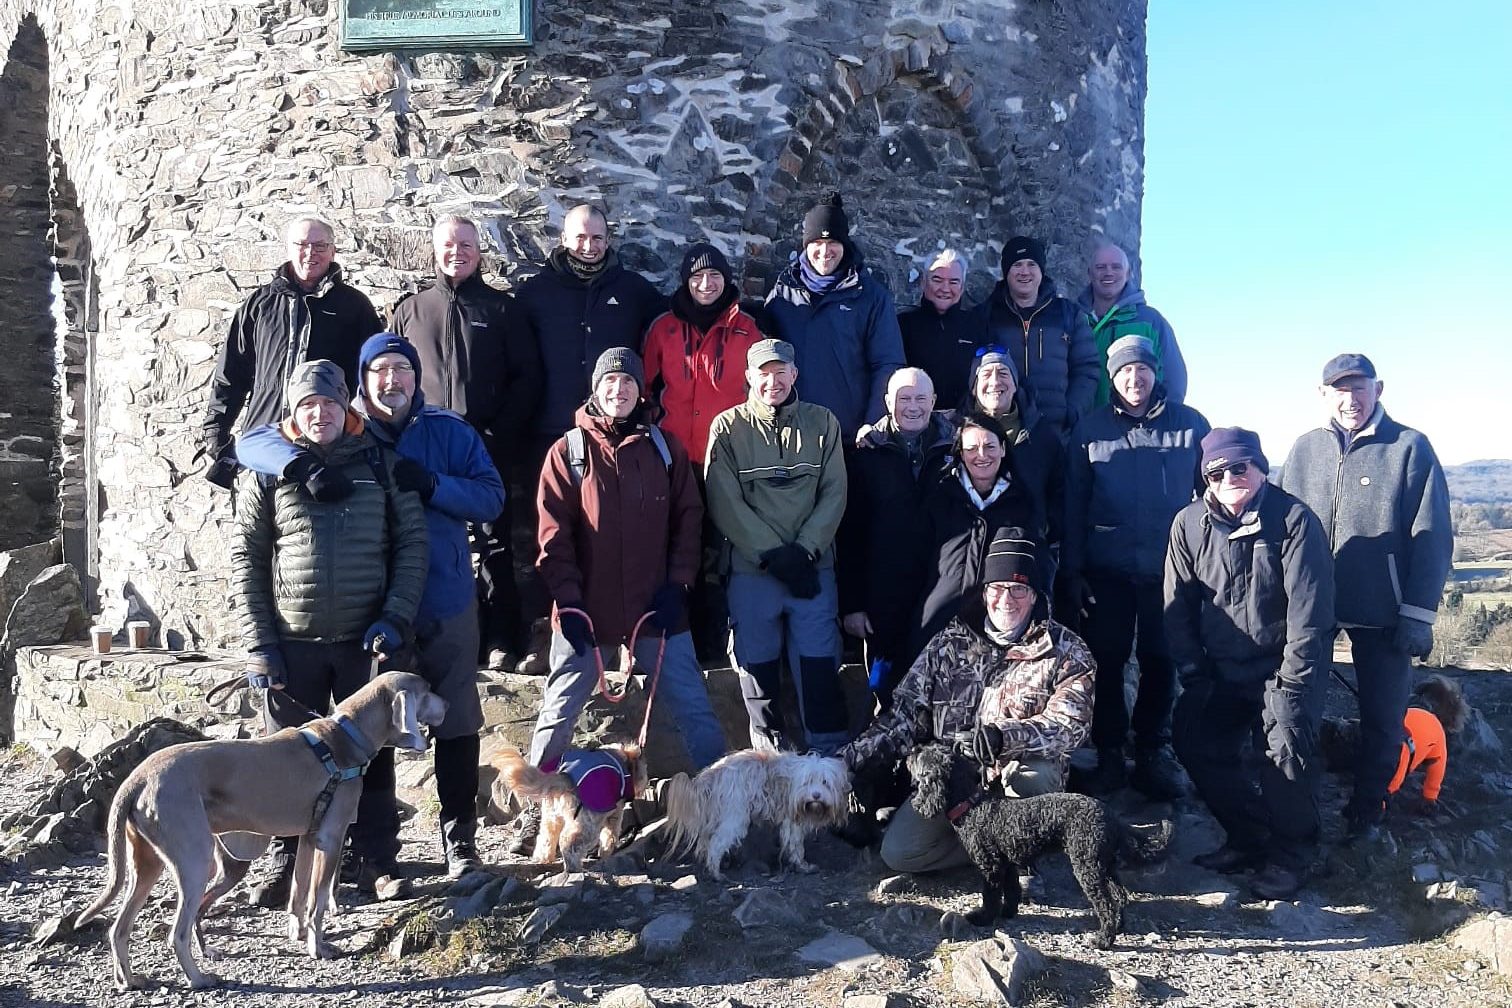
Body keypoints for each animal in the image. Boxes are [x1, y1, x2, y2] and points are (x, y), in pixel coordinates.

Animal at [74, 674, 444, 991]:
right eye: (427, 689)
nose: (449, 704)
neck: (345, 738)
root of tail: (136, 778)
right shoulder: (331, 837)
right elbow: (318, 901)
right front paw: (319, 948)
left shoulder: (309, 837)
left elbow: (299, 893)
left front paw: (298, 933)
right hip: (195, 859)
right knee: (176, 932)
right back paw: (198, 978)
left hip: (147, 862)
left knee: (119, 928)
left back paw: (128, 980)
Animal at [489, 740, 644, 876]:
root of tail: (564, 776)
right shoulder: (614, 814)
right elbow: (610, 836)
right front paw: (606, 853)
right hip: (587, 822)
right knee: (570, 843)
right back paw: (574, 868)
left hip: (551, 815)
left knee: (546, 837)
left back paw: (543, 858)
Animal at [662, 749, 852, 882]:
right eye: (807, 782)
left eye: (825, 783)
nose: (816, 795)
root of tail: (714, 774)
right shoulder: (793, 822)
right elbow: (796, 846)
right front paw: (802, 866)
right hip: (735, 817)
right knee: (716, 844)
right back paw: (717, 874)